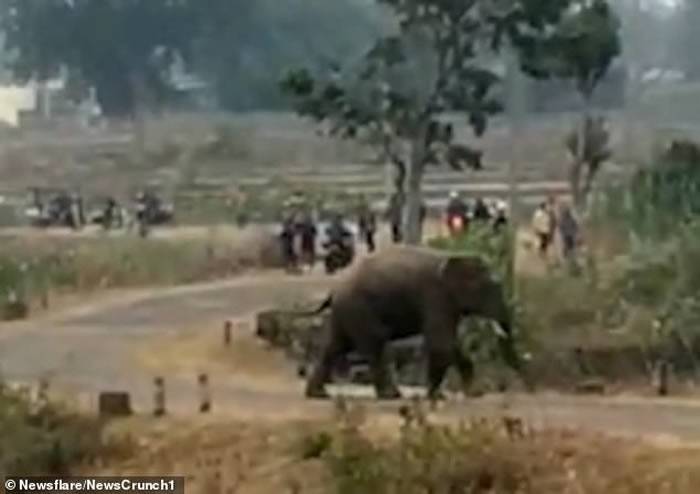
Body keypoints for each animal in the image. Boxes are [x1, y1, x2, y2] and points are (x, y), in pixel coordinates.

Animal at [300, 245, 524, 400]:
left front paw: (473, 394)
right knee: (374, 342)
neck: (453, 256)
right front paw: (435, 397)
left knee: (336, 346)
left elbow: (452, 344)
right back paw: (391, 396)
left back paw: (318, 394)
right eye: (490, 289)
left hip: (346, 313)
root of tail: (333, 291)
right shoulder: (435, 296)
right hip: (358, 310)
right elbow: (441, 344)